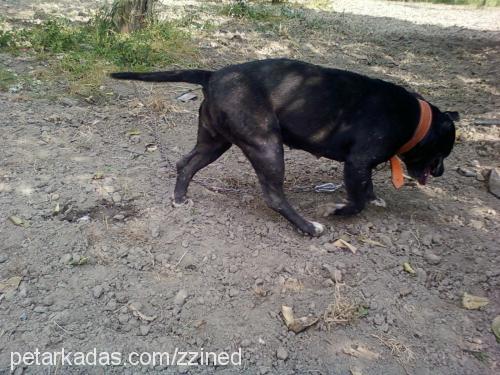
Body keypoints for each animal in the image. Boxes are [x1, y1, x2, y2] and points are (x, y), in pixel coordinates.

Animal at [111, 58, 458, 236]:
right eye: (443, 152)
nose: (441, 173)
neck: (417, 120)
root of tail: (212, 75)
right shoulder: (357, 163)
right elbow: (357, 200)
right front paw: (340, 210)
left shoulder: (363, 167)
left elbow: (367, 189)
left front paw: (375, 199)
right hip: (267, 145)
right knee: (274, 196)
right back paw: (309, 227)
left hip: (214, 142)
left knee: (186, 164)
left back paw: (180, 199)